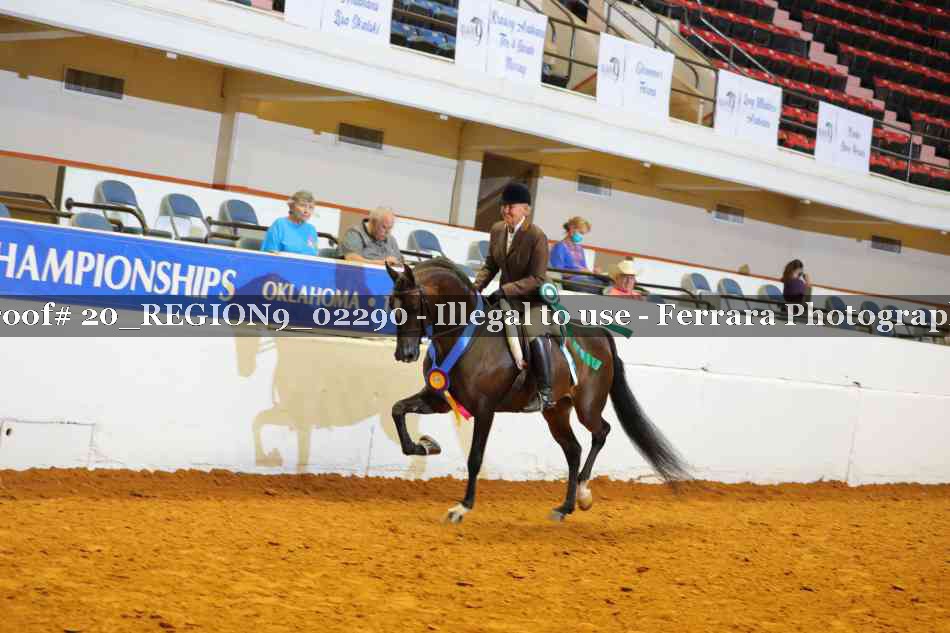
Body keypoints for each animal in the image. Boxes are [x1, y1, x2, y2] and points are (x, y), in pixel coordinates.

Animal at [386, 258, 689, 523]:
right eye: (391, 305)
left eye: (412, 304)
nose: (405, 354)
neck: (465, 336)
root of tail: (602, 334)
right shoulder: (439, 399)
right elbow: (397, 410)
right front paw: (426, 445)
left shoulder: (485, 410)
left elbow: (475, 458)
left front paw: (461, 508)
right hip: (556, 411)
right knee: (573, 449)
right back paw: (565, 507)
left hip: (587, 406)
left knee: (601, 432)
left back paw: (583, 493)